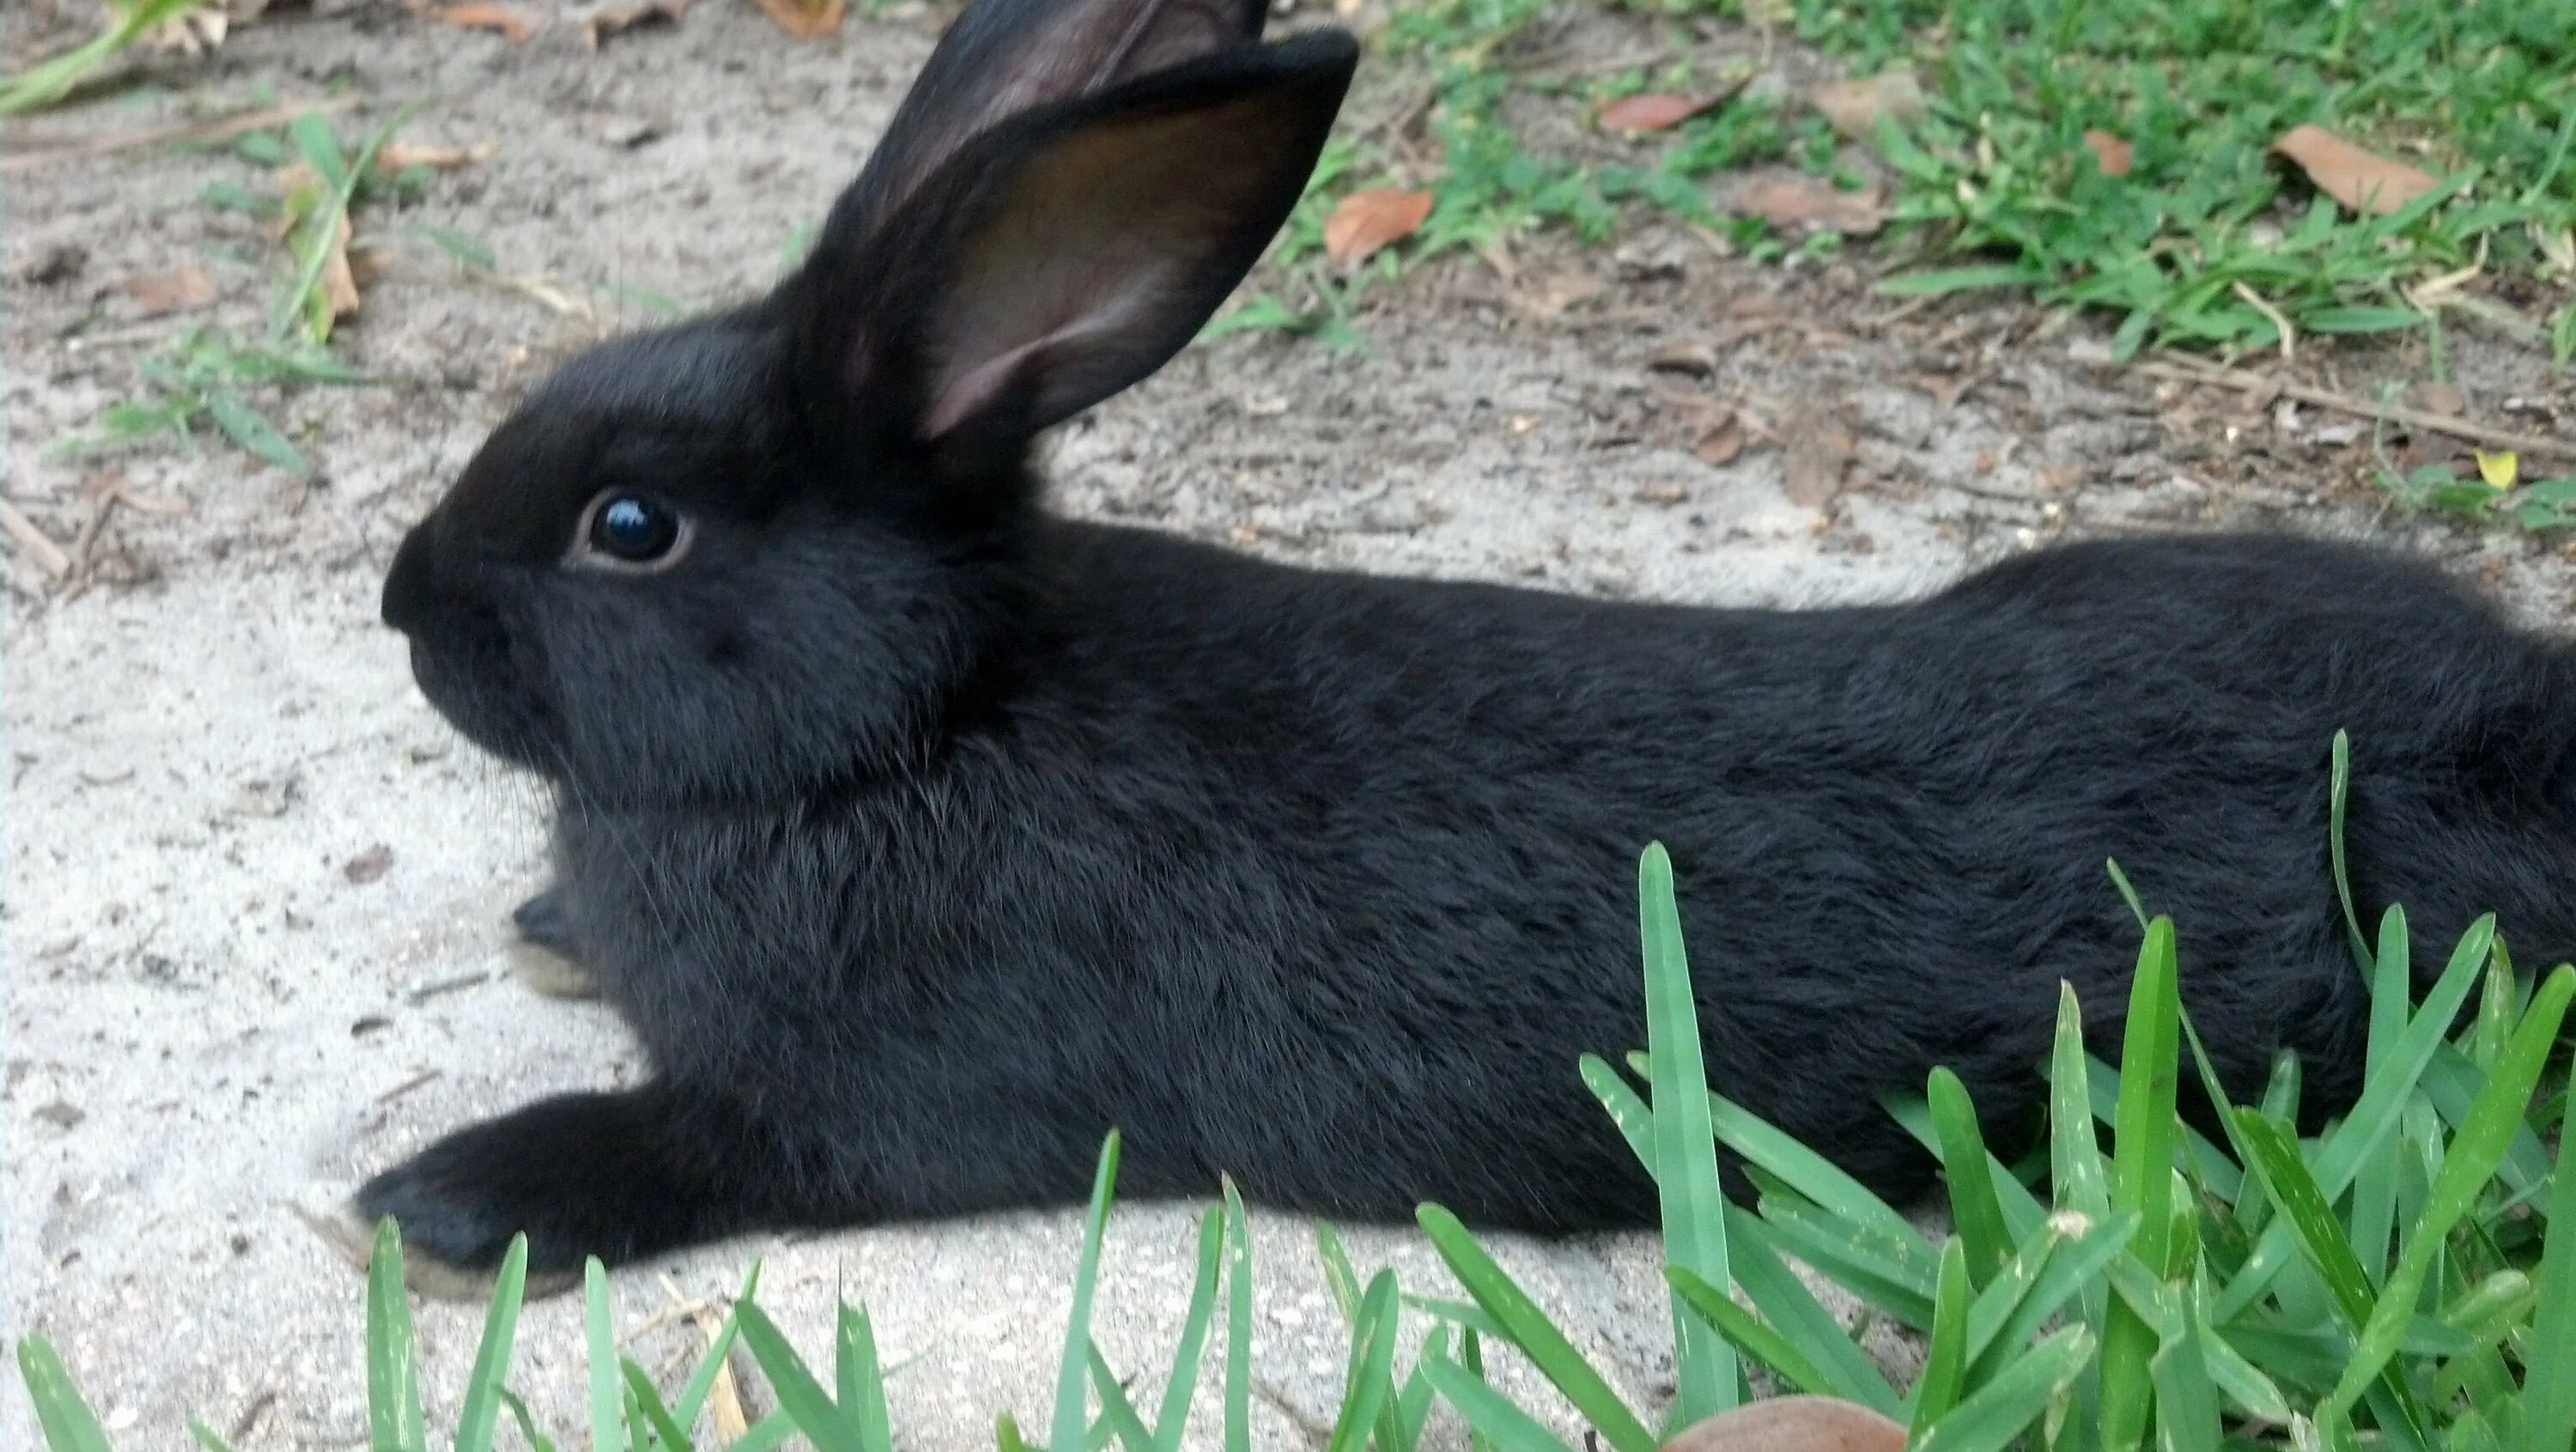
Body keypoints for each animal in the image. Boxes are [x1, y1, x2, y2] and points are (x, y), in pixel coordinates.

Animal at [358, 0, 2576, 1287]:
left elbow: (717, 1144)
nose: (399, 605)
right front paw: (548, 933)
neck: (920, 716)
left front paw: (449, 1202)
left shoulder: (872, 1101)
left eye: (628, 527)